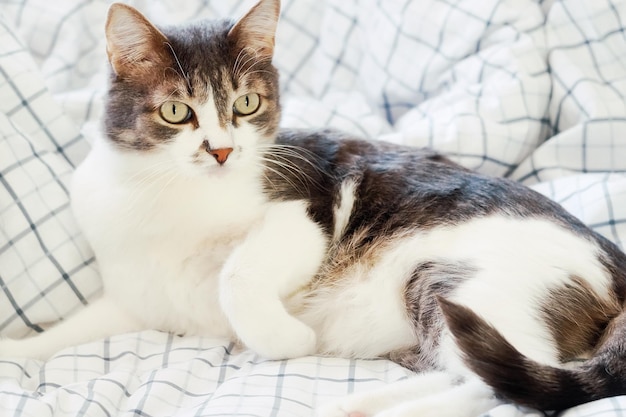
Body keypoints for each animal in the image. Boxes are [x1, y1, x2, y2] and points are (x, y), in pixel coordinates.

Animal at [1, 0, 624, 414]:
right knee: (464, 374)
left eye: (246, 104)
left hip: (458, 283)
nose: (221, 150)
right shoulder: (135, 298)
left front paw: (287, 341)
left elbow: (238, 275)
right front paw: (18, 348)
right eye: (177, 112)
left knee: (493, 386)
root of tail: (614, 265)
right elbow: (70, 329)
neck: (163, 192)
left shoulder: (305, 208)